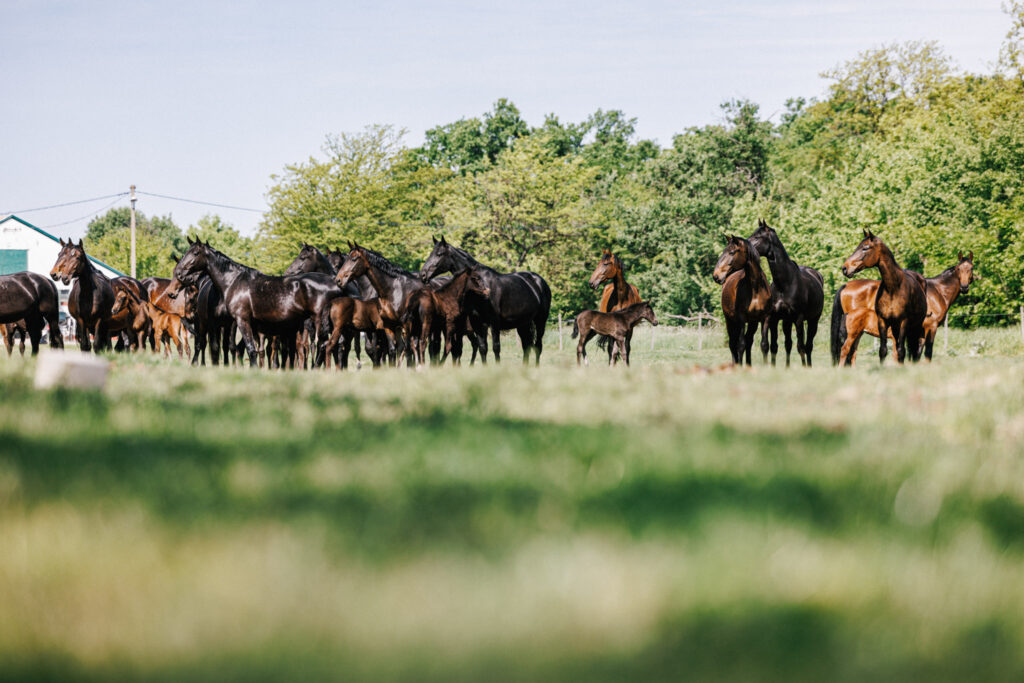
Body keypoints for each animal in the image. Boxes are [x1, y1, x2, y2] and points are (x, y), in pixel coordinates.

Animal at [417, 235, 552, 362]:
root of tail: (539, 281)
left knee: (538, 346)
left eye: (439, 254)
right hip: (523, 323)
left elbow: (496, 348)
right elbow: (483, 348)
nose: (423, 275)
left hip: (540, 321)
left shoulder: (494, 324)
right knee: (526, 346)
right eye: (431, 253)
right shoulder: (477, 323)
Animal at [716, 235, 770, 366]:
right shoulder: (741, 318)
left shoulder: (765, 318)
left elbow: (764, 345)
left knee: (749, 341)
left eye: (731, 252)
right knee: (733, 343)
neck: (755, 288)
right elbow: (740, 345)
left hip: (753, 322)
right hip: (730, 321)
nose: (716, 276)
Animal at [749, 220, 827, 368]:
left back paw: (809, 366)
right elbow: (774, 346)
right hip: (787, 321)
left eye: (757, 237)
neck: (785, 283)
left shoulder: (798, 318)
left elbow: (800, 346)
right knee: (788, 344)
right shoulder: (774, 318)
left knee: (808, 345)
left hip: (813, 320)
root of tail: (817, 275)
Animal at [827, 250, 970, 366]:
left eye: (971, 268)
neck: (939, 291)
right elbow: (924, 352)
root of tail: (845, 285)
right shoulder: (930, 327)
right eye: (959, 269)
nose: (964, 287)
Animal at [839, 229, 929, 366]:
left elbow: (901, 351)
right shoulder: (882, 321)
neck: (893, 288)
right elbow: (883, 350)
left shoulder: (903, 322)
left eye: (865, 248)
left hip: (914, 326)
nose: (845, 268)